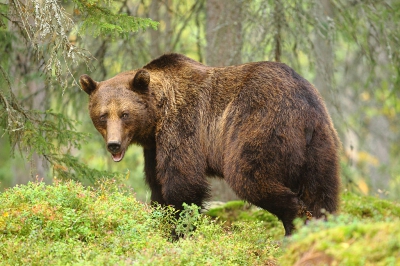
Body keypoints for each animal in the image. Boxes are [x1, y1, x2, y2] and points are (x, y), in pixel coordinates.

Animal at [80, 53, 340, 236]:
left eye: (124, 114)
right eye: (103, 115)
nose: (114, 145)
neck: (157, 117)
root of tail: (304, 104)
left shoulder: (183, 126)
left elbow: (182, 183)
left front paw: (179, 231)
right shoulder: (153, 148)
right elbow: (156, 184)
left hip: (260, 126)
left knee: (250, 177)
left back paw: (294, 225)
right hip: (320, 145)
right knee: (322, 192)